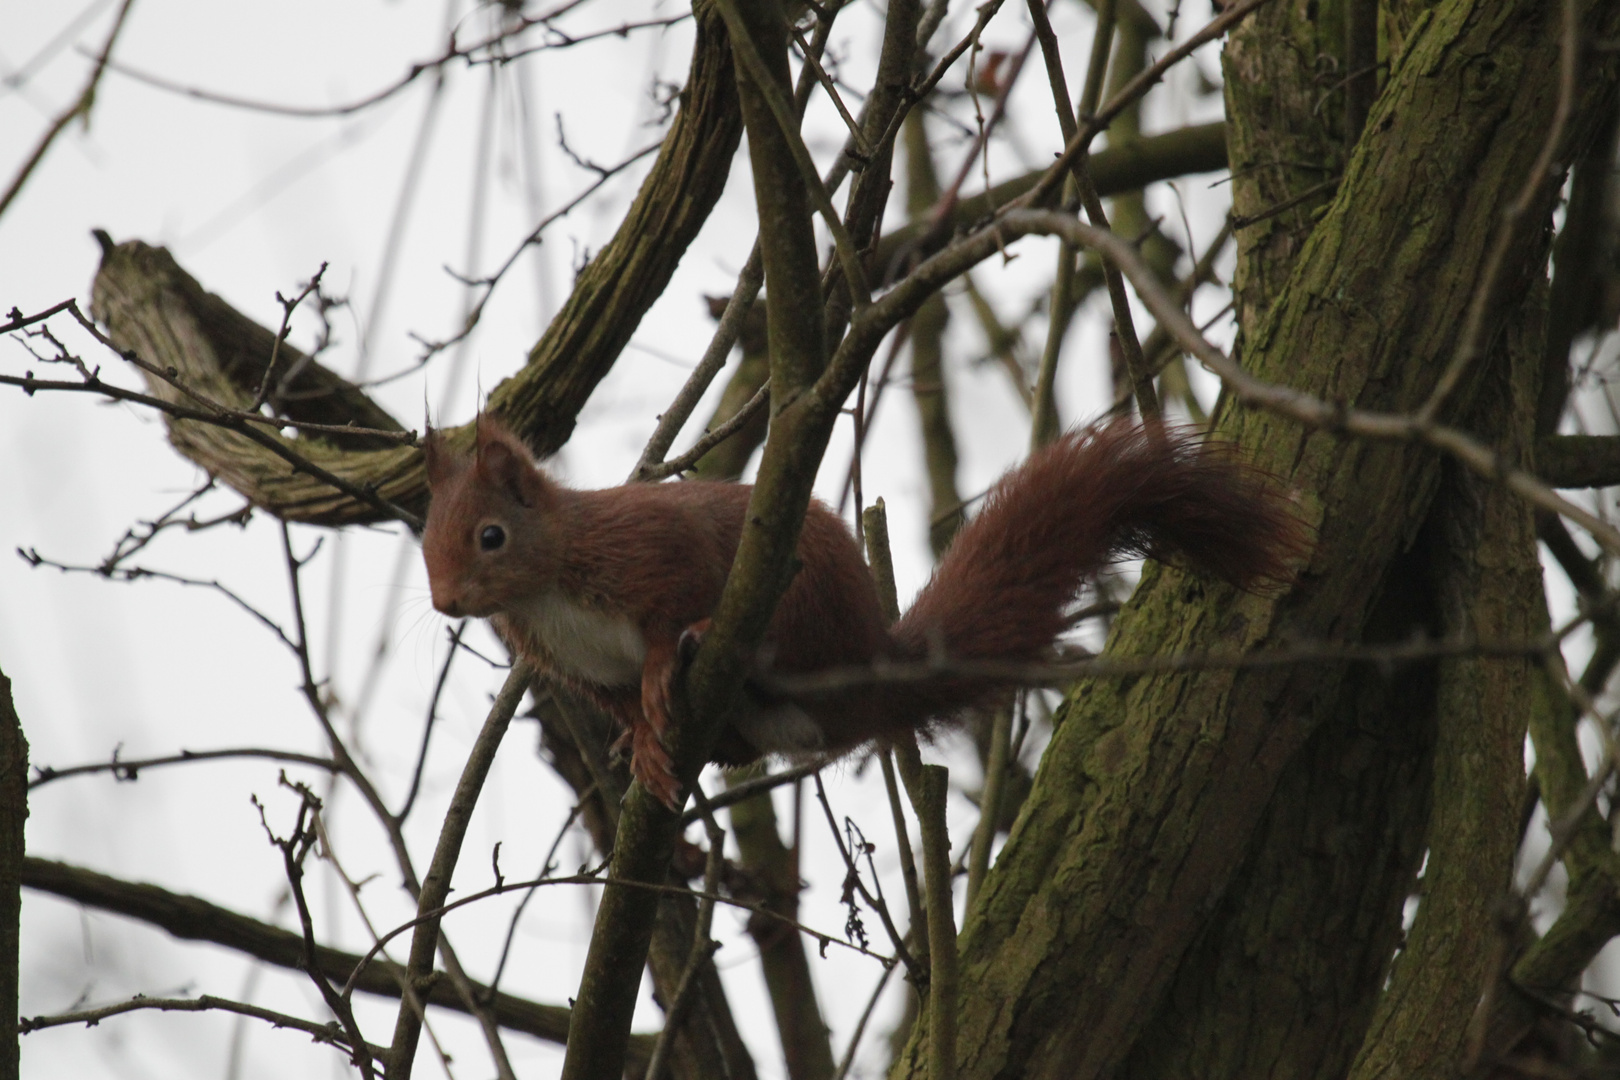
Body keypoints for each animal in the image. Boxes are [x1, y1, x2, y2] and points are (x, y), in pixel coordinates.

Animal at [421, 417, 1302, 806]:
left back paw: (714, 649)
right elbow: (618, 703)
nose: (444, 602)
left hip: (801, 600)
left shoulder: (650, 554)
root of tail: (872, 664)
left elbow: (669, 612)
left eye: (491, 536)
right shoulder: (575, 666)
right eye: (426, 538)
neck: (546, 587)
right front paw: (638, 742)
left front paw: (667, 667)